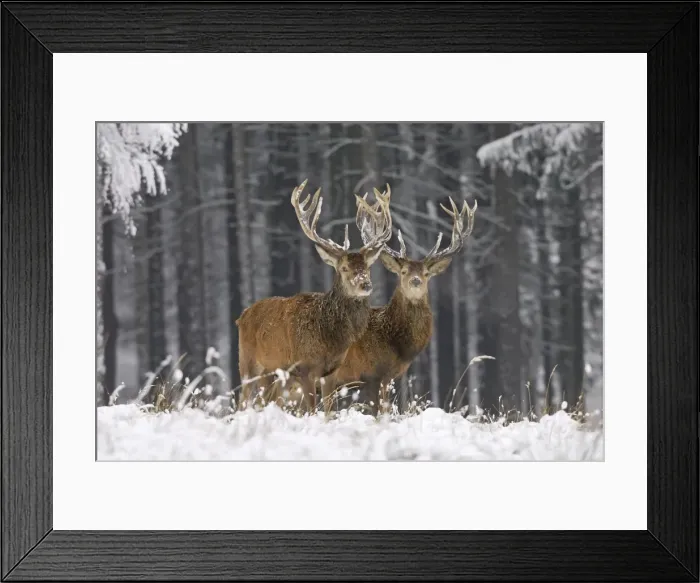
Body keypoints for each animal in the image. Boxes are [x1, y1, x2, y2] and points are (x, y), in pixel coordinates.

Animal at [235, 179, 393, 414]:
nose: (365, 284)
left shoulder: (331, 372)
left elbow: (329, 411)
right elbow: (311, 410)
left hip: (274, 374)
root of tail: (241, 316)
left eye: (367, 267)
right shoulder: (305, 368)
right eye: (344, 268)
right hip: (249, 364)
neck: (328, 336)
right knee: (242, 402)